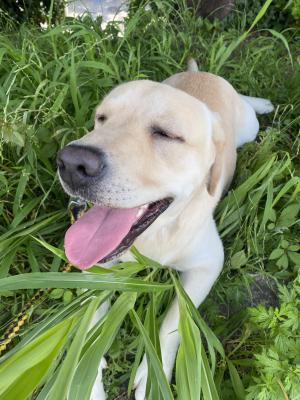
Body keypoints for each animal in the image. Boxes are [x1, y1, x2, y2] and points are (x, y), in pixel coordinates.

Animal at [56, 60, 274, 400]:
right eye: (101, 119)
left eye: (166, 134)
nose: (71, 163)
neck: (152, 237)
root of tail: (200, 73)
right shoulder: (97, 269)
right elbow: (91, 319)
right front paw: (86, 375)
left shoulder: (207, 265)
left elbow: (173, 323)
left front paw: (153, 374)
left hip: (248, 127)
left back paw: (261, 103)